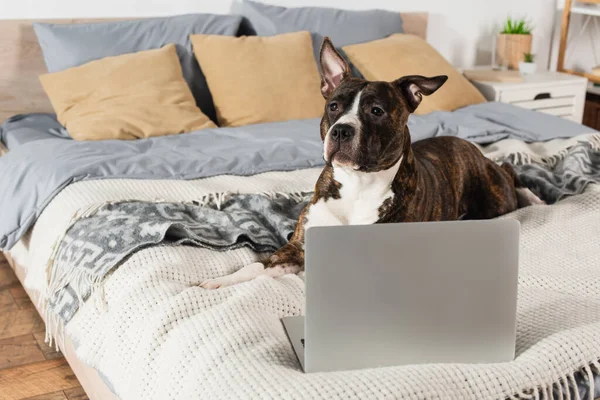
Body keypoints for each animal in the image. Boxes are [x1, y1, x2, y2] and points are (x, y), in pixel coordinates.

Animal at [198, 36, 544, 290]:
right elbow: (256, 265)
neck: (357, 184)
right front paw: (218, 283)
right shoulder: (297, 248)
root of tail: (470, 147)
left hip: (493, 199)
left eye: (376, 111)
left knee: (510, 175)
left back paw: (534, 197)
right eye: (334, 106)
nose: (341, 130)